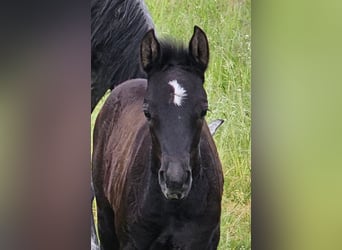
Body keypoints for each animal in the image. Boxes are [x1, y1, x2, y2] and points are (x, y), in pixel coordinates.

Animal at [92, 26, 223, 249]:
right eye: (147, 111)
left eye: (203, 110)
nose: (175, 181)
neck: (174, 209)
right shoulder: (133, 242)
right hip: (105, 218)